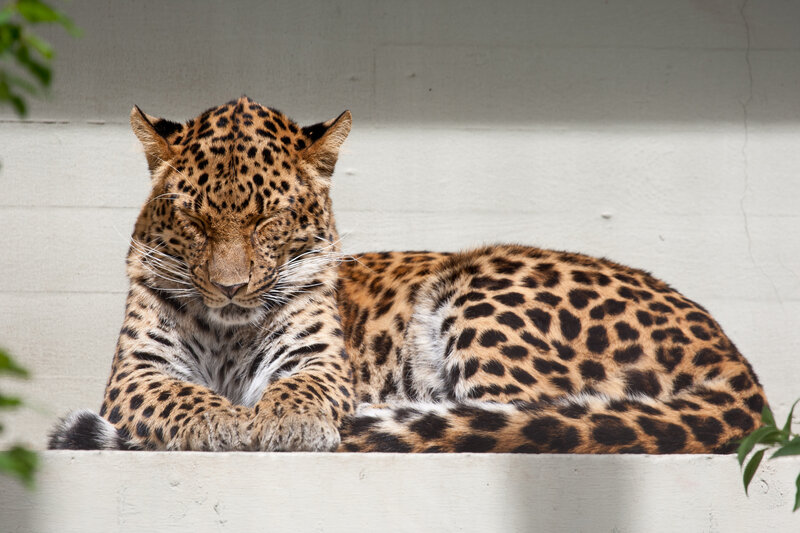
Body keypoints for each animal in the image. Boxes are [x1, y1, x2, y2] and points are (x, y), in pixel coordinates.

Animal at [49, 96, 767, 454]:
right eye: (194, 219)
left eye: (269, 219)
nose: (229, 288)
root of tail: (735, 358)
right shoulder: (137, 371)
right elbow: (182, 394)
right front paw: (224, 422)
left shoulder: (317, 361)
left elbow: (298, 392)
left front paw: (278, 424)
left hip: (480, 291)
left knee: (530, 422)